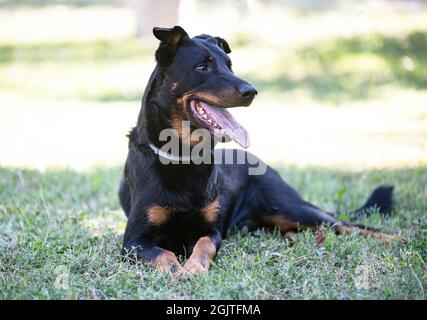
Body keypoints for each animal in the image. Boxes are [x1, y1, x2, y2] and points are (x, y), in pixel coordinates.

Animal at [118, 26, 402, 276]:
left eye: (229, 65)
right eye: (202, 67)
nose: (251, 91)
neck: (182, 156)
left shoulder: (210, 231)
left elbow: (203, 246)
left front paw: (193, 268)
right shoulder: (134, 241)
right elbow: (165, 254)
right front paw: (179, 271)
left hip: (287, 207)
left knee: (347, 224)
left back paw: (394, 237)